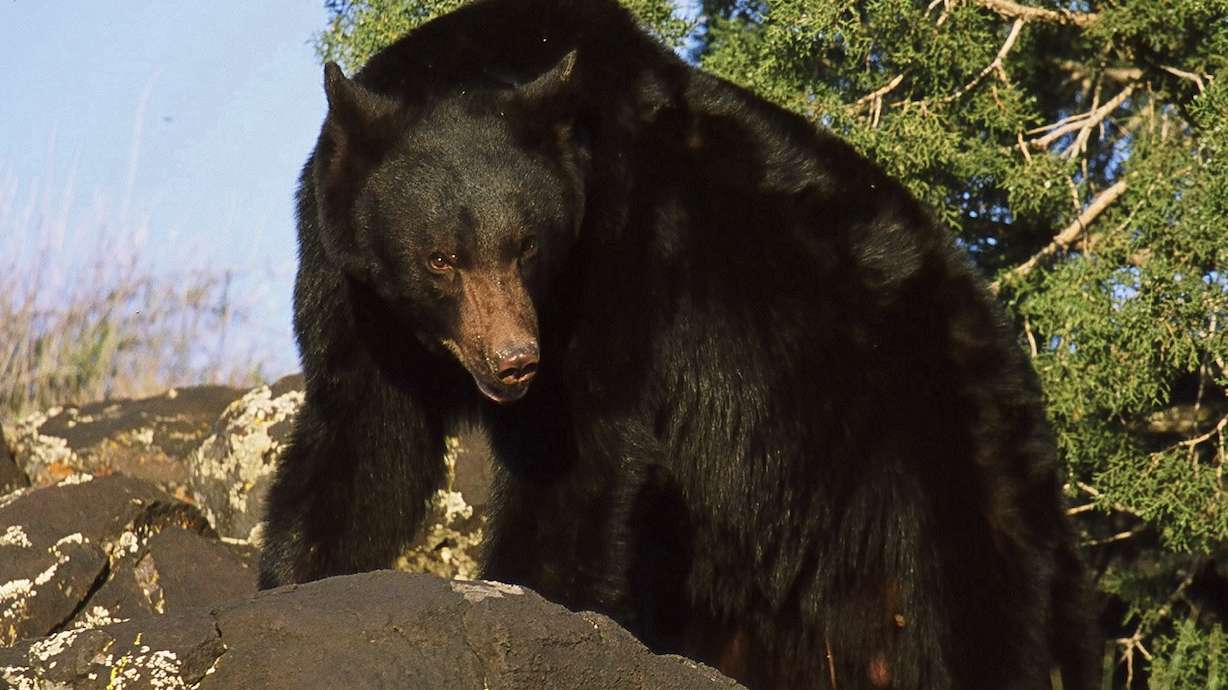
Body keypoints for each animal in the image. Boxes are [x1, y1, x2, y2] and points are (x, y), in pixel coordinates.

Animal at [258, 0, 1098, 687]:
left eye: (526, 246)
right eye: (441, 258)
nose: (515, 360)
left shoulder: (625, 257)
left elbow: (582, 456)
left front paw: (531, 601)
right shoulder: (352, 291)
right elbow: (360, 446)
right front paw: (297, 583)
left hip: (933, 466)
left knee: (982, 619)